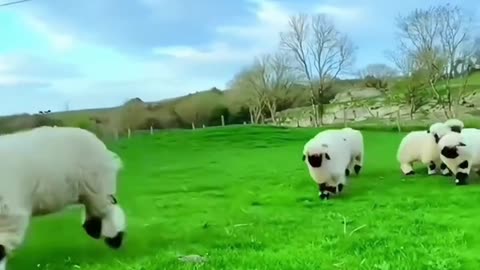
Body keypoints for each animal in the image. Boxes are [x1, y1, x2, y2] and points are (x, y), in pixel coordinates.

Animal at [0, 126, 125, 270]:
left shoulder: (9, 212)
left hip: (97, 185)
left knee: (106, 211)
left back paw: (115, 239)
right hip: (88, 189)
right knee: (96, 212)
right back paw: (97, 231)